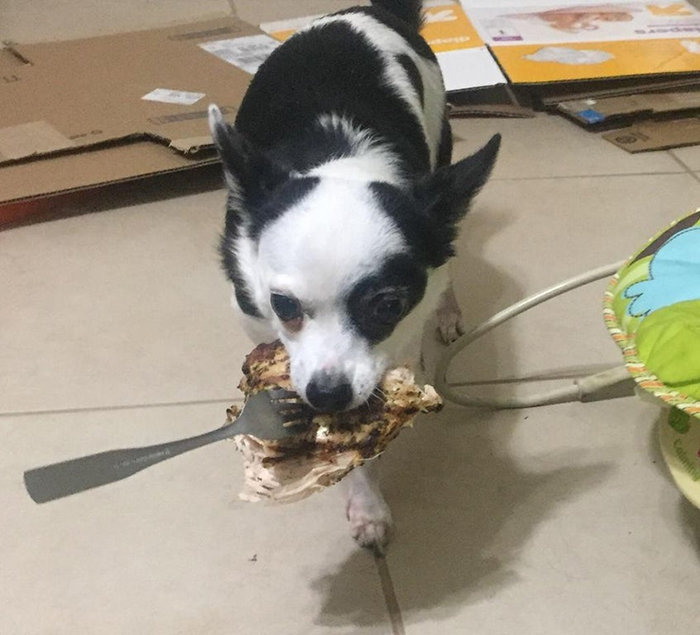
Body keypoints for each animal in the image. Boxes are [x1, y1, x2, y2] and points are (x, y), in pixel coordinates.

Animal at [208, 0, 498, 556]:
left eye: (387, 306)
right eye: (283, 306)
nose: (327, 393)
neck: (342, 163)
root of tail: (367, 9)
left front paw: (366, 505)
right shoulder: (250, 311)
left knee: (449, 259)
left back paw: (448, 313)